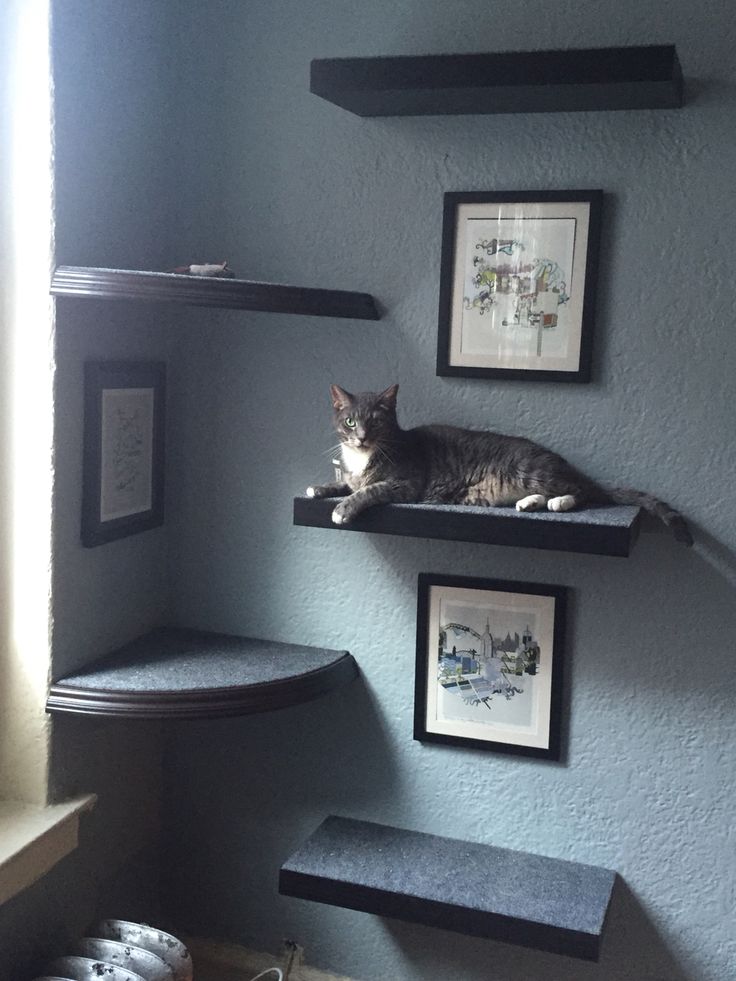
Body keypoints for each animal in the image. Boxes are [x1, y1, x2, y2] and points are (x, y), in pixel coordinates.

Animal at [302, 380, 692, 544]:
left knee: (581, 492)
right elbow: (345, 482)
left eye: (376, 422)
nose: (361, 437)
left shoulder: (405, 482)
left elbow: (368, 491)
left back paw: (559, 501)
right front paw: (318, 487)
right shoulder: (352, 473)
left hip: (531, 469)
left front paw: (343, 508)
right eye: (350, 422)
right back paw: (530, 503)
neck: (362, 457)